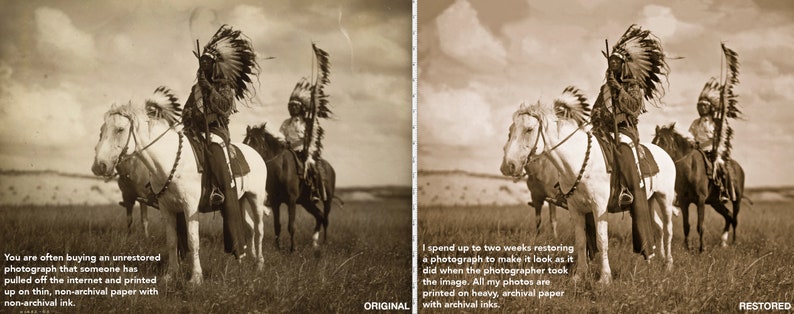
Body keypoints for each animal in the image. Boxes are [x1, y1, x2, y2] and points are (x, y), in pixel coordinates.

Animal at [93, 92, 270, 284]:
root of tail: (255, 153)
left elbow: (193, 241)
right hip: (240, 200)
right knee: (250, 227)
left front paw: (196, 278)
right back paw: (247, 259)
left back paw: (259, 264)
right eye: (102, 130)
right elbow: (172, 241)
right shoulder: (167, 209)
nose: (99, 166)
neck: (169, 160)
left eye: (120, 129)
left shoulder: (190, 207)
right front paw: (171, 274)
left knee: (259, 229)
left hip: (255, 198)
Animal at [498, 86, 672, 284]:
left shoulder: (599, 208)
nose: (508, 166)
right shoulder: (576, 209)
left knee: (668, 229)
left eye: (529, 129)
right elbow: (581, 242)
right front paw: (579, 275)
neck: (578, 160)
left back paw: (668, 265)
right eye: (511, 129)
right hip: (649, 200)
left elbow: (602, 241)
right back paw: (654, 262)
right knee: (657, 227)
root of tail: (664, 153)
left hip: (665, 198)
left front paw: (605, 278)